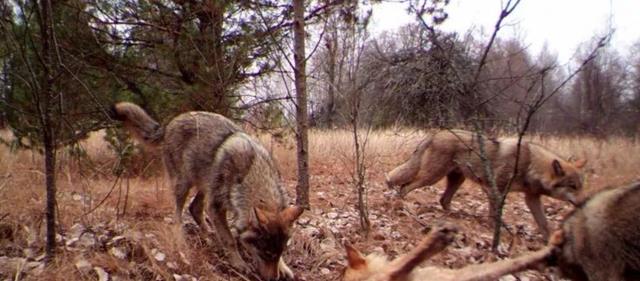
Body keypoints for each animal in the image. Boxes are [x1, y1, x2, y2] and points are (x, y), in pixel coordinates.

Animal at [111, 101, 304, 278]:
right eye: (266, 253)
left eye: (279, 253)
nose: (274, 278)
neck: (252, 172)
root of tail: (171, 122)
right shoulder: (216, 207)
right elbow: (229, 240)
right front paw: (238, 263)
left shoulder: (216, 204)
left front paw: (284, 268)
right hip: (184, 184)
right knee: (178, 215)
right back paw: (182, 239)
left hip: (206, 186)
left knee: (194, 208)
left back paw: (209, 235)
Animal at [384, 129, 584, 236]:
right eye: (573, 186)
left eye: (581, 187)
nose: (584, 203)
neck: (529, 163)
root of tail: (436, 133)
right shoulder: (495, 190)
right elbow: (494, 214)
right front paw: (493, 229)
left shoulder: (531, 198)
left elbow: (544, 224)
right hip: (432, 177)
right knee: (405, 187)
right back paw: (404, 207)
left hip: (456, 179)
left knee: (443, 200)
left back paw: (456, 216)